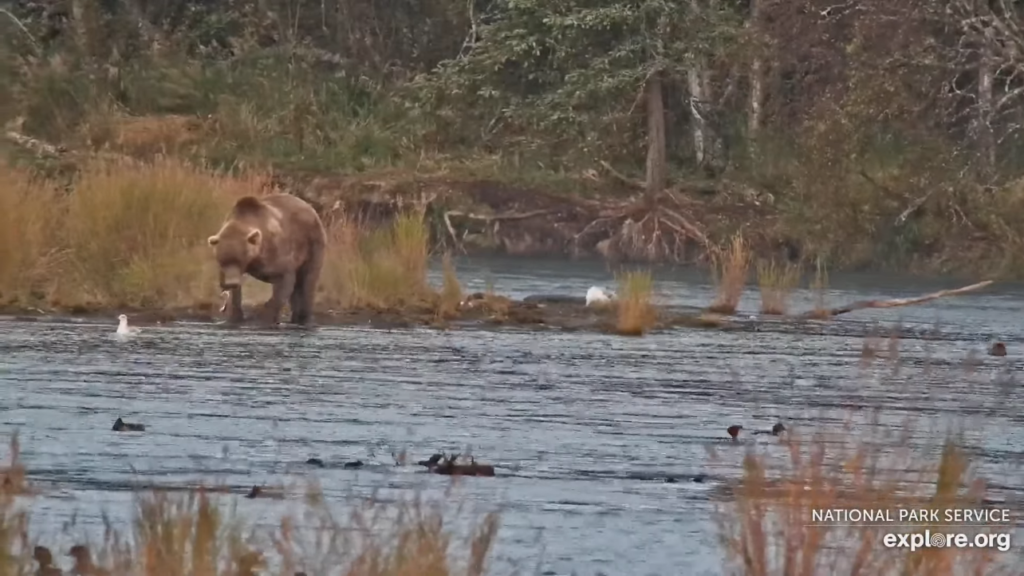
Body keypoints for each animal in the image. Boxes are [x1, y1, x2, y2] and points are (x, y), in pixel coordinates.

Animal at [204, 193, 323, 323]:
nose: (231, 283)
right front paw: (236, 315)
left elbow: (284, 281)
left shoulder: (277, 254)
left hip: (312, 244)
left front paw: (265, 315)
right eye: (222, 260)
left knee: (308, 281)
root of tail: (309, 207)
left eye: (239, 259)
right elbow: (235, 295)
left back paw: (304, 317)